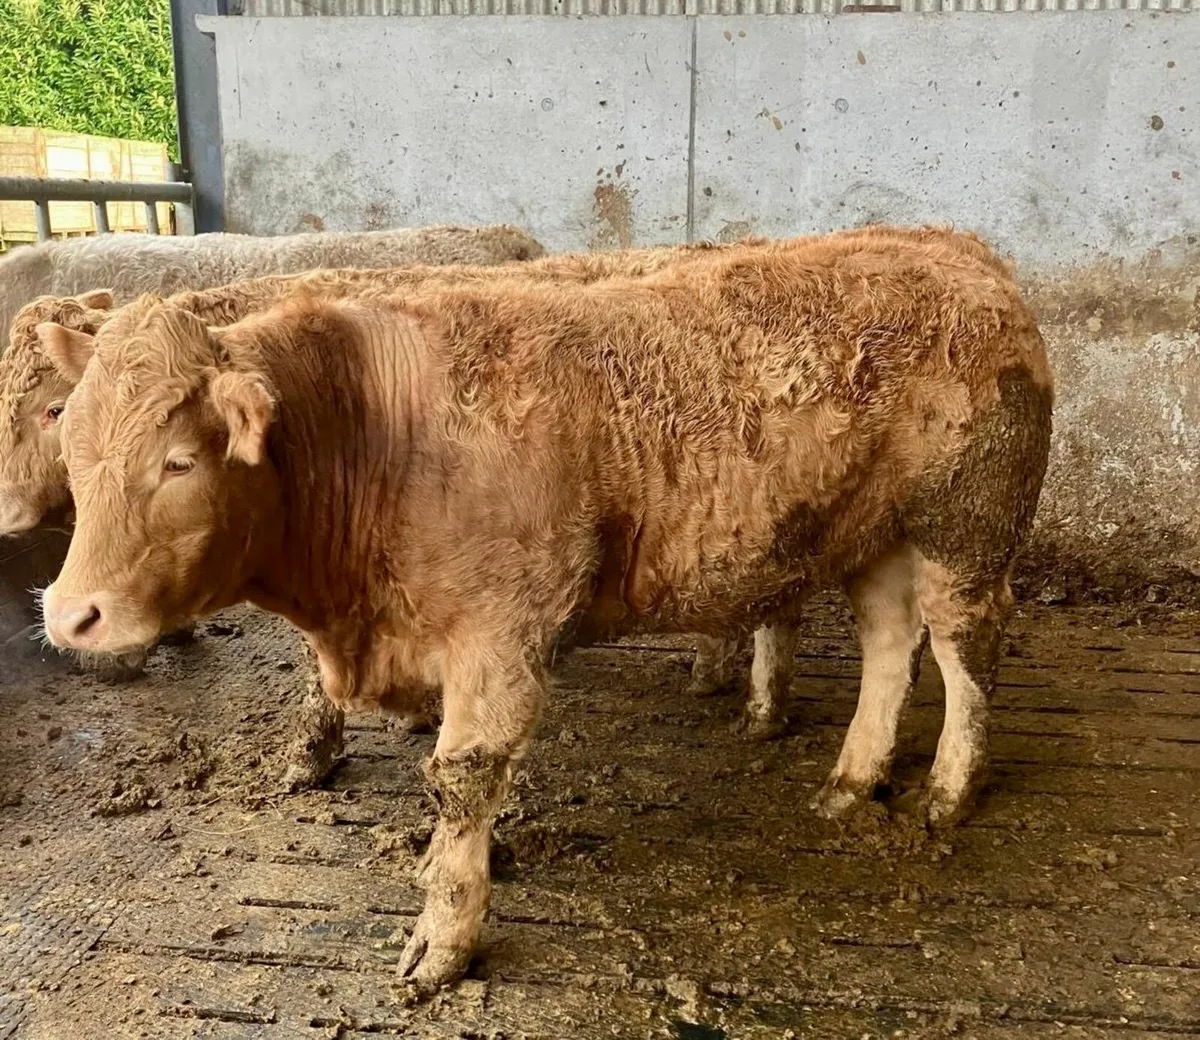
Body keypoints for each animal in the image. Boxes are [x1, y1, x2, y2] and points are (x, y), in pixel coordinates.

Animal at [39, 225, 1052, 992]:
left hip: (968, 529)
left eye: (179, 460)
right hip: (875, 536)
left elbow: (462, 778)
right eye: (71, 440)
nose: (69, 615)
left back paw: (948, 788)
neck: (380, 431)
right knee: (890, 642)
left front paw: (443, 938)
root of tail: (958, 249)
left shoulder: (500, 634)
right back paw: (853, 779)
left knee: (966, 648)